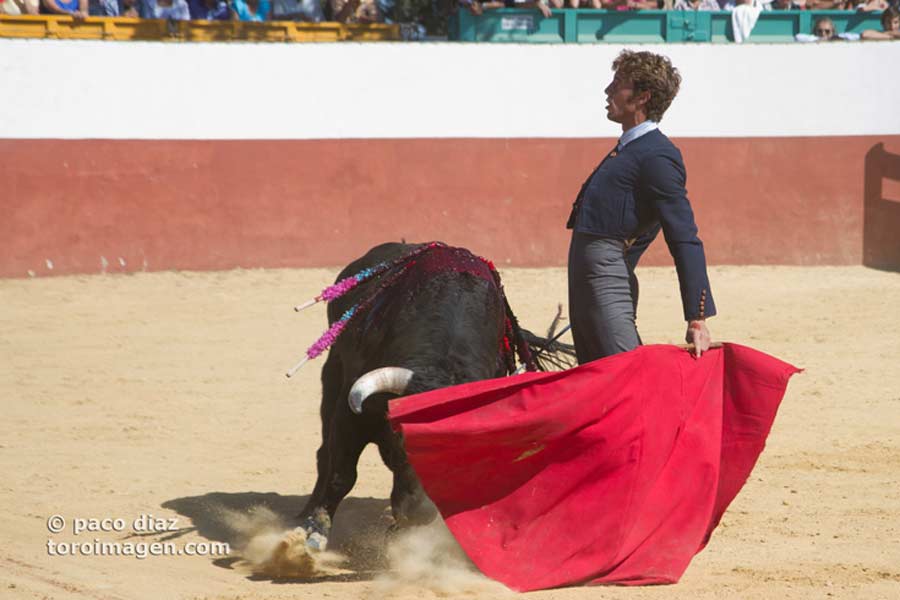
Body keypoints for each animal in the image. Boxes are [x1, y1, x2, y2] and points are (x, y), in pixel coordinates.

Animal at [298, 243, 572, 548]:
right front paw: (313, 535)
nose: (420, 513)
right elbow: (341, 474)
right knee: (325, 454)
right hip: (333, 371)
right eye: (402, 438)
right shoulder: (353, 414)